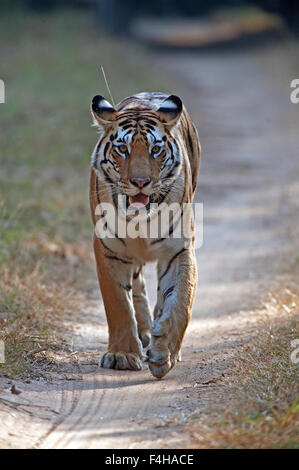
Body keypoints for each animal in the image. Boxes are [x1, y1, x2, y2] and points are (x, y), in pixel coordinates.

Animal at [89, 91, 202, 378]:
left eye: (155, 150)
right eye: (122, 149)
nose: (140, 182)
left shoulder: (178, 249)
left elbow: (180, 301)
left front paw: (164, 354)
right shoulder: (109, 249)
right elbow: (118, 303)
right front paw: (122, 356)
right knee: (137, 287)